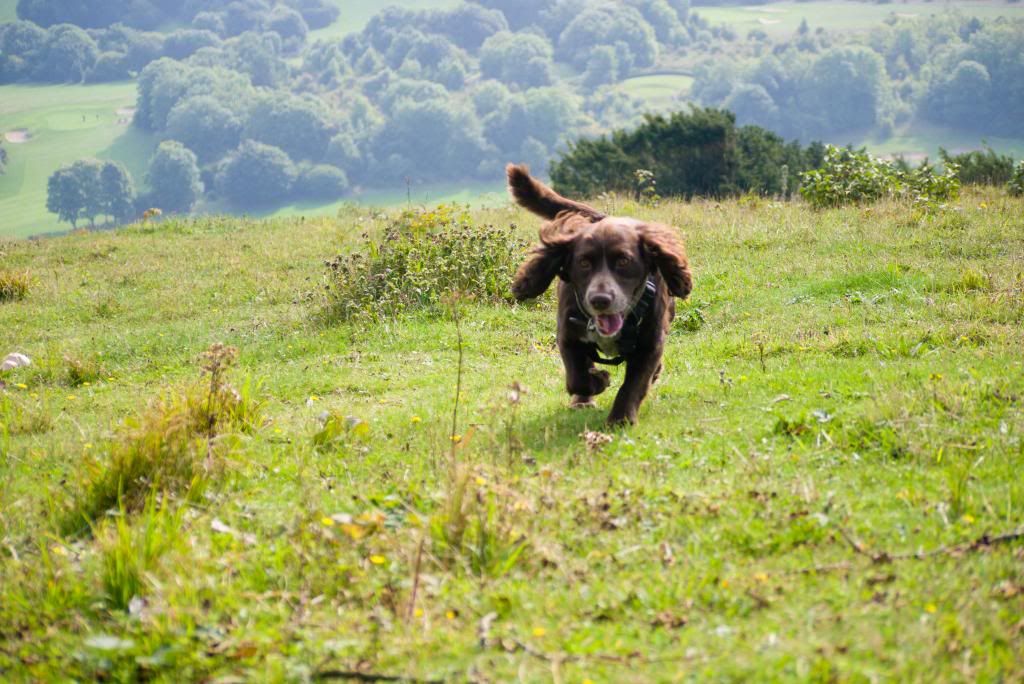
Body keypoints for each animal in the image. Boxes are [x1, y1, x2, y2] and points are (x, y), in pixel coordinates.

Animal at [507, 163, 692, 423]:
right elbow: (577, 378)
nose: (600, 300)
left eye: (624, 261)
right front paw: (598, 381)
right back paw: (584, 400)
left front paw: (620, 419)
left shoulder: (650, 343)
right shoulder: (568, 335)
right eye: (584, 263)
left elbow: (634, 384)